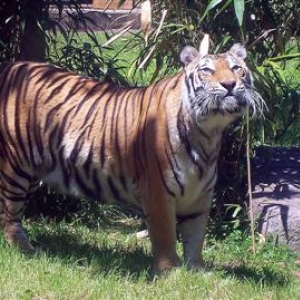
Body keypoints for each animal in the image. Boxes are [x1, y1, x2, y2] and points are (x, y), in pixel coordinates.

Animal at [0, 35, 264, 272]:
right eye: (207, 70)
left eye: (236, 68)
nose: (229, 84)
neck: (208, 133)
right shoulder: (157, 191)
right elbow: (165, 234)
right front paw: (170, 272)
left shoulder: (199, 195)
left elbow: (196, 235)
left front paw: (197, 270)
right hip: (14, 168)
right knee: (9, 215)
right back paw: (27, 251)